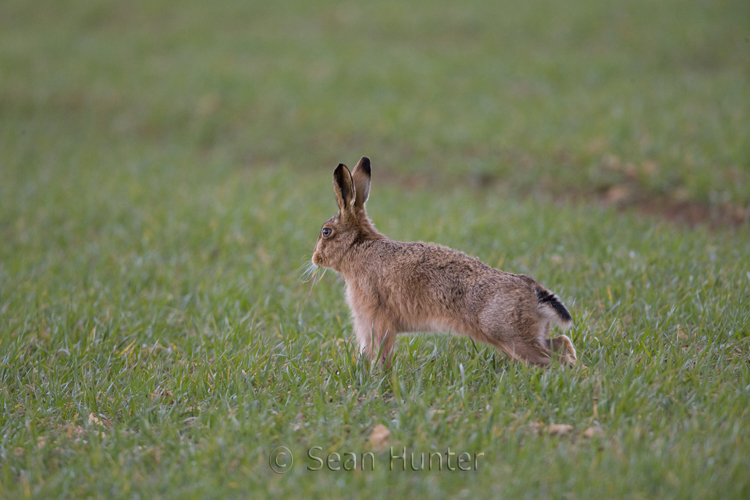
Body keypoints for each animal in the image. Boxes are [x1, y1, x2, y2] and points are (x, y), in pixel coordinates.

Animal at [311, 156, 577, 367]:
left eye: (326, 232)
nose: (315, 258)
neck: (357, 246)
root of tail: (534, 291)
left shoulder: (375, 318)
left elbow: (379, 349)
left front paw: (375, 372)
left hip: (510, 336)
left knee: (550, 359)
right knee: (561, 343)